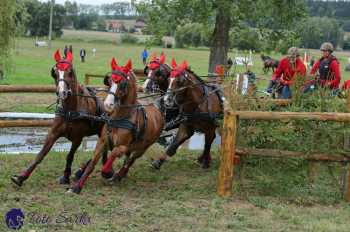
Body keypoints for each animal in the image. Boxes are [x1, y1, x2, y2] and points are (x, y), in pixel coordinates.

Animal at [10, 50, 112, 187]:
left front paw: (65, 177)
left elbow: (69, 156)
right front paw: (21, 177)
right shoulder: (53, 133)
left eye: (70, 72)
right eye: (55, 73)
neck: (70, 111)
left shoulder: (77, 138)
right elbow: (41, 154)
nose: (62, 92)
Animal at [68, 58, 164, 194]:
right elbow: (92, 164)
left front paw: (107, 172)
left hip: (143, 147)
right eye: (109, 81)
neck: (120, 117)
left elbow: (113, 154)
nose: (108, 104)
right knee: (127, 160)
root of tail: (157, 110)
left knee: (130, 160)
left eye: (122, 84)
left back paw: (118, 176)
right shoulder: (103, 141)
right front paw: (77, 187)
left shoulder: (123, 146)